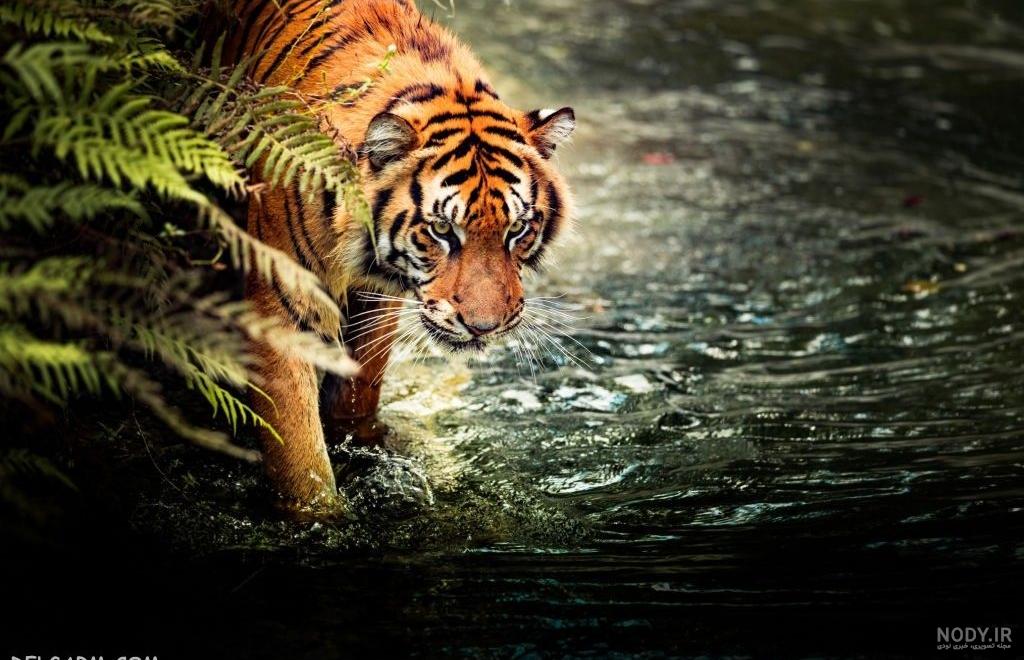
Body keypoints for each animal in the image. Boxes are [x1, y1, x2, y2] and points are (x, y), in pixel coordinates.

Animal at [214, 0, 576, 511]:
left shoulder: (376, 301)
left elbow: (355, 395)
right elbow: (298, 452)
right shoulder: (280, 305)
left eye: (517, 229)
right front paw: (320, 515)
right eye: (442, 230)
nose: (484, 327)